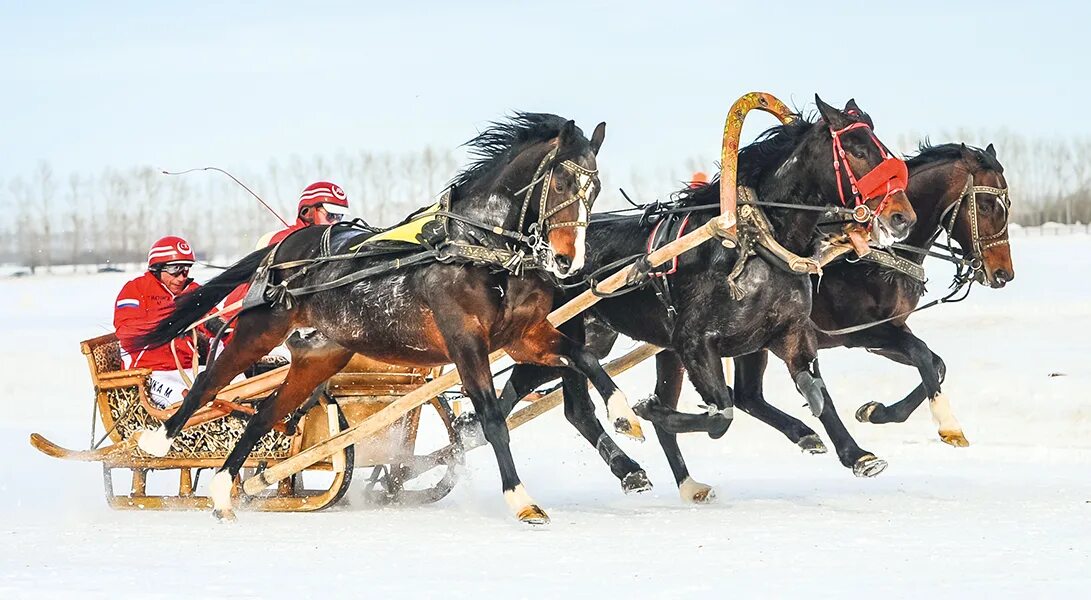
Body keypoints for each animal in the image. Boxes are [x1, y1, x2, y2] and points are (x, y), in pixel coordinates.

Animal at [135, 112, 637, 528]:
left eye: (594, 190)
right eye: (561, 183)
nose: (568, 260)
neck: (477, 248)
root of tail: (283, 248)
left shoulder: (524, 336)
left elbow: (583, 356)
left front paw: (625, 414)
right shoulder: (465, 341)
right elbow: (493, 418)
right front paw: (521, 499)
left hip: (321, 354)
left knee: (265, 415)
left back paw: (224, 491)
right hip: (260, 330)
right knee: (210, 382)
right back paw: (160, 441)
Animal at [506, 97, 916, 504]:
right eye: (858, 150)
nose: (902, 217)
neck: (755, 241)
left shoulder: (789, 334)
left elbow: (816, 394)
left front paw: (856, 453)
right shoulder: (695, 344)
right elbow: (721, 414)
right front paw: (647, 409)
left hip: (610, 344)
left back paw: (683, 481)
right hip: (570, 338)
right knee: (561, 405)